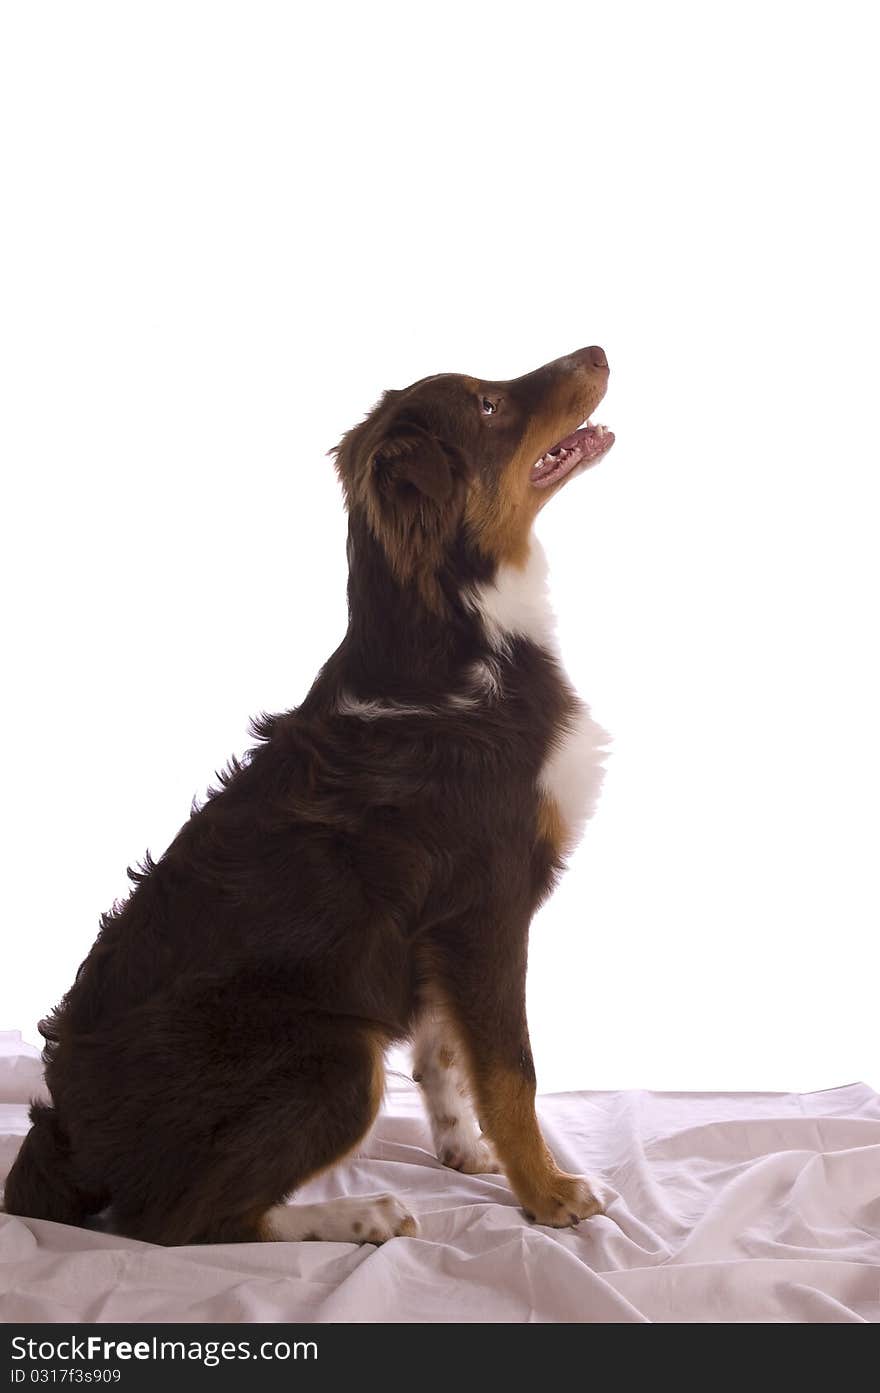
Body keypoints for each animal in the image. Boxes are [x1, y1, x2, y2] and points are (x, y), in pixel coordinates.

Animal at [5, 345, 612, 1242]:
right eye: (488, 405)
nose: (600, 351)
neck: (458, 633)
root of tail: (66, 1130)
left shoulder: (439, 930)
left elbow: (443, 1052)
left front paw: (464, 1150)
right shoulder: (487, 903)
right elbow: (512, 1069)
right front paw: (547, 1192)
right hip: (335, 1055)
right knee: (179, 1218)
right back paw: (363, 1214)